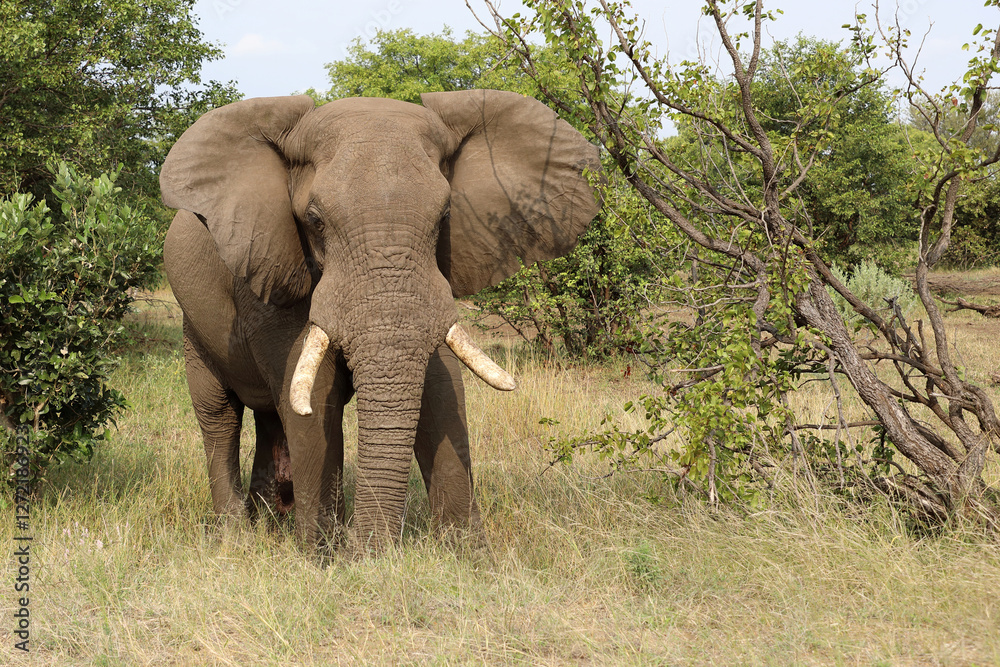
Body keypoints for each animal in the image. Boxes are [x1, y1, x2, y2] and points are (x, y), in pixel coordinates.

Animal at [160, 89, 602, 553]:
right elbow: (313, 400)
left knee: (268, 416)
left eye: (445, 217)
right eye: (314, 221)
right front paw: (324, 557)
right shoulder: (271, 269)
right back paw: (235, 534)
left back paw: (270, 521)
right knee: (218, 414)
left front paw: (469, 553)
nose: (368, 549)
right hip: (194, 327)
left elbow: (443, 391)